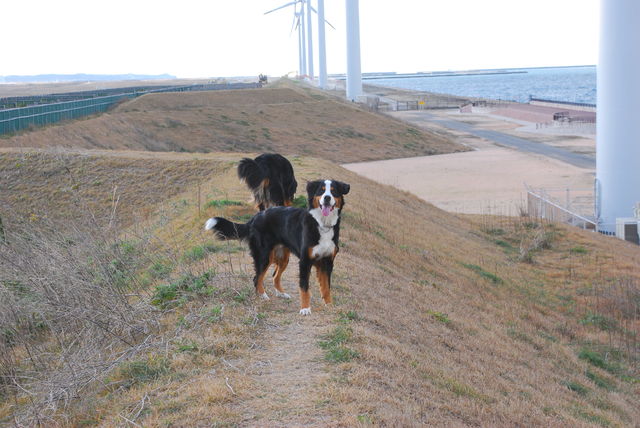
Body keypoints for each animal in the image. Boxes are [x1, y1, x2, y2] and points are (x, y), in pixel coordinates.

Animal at [206, 179, 350, 316]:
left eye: (334, 191)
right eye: (321, 190)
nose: (327, 198)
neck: (322, 224)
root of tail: (255, 217)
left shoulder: (327, 262)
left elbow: (326, 287)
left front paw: (329, 305)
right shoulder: (305, 261)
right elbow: (304, 288)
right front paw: (305, 309)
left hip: (282, 257)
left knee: (275, 276)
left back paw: (281, 294)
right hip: (264, 256)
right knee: (257, 278)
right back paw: (263, 296)